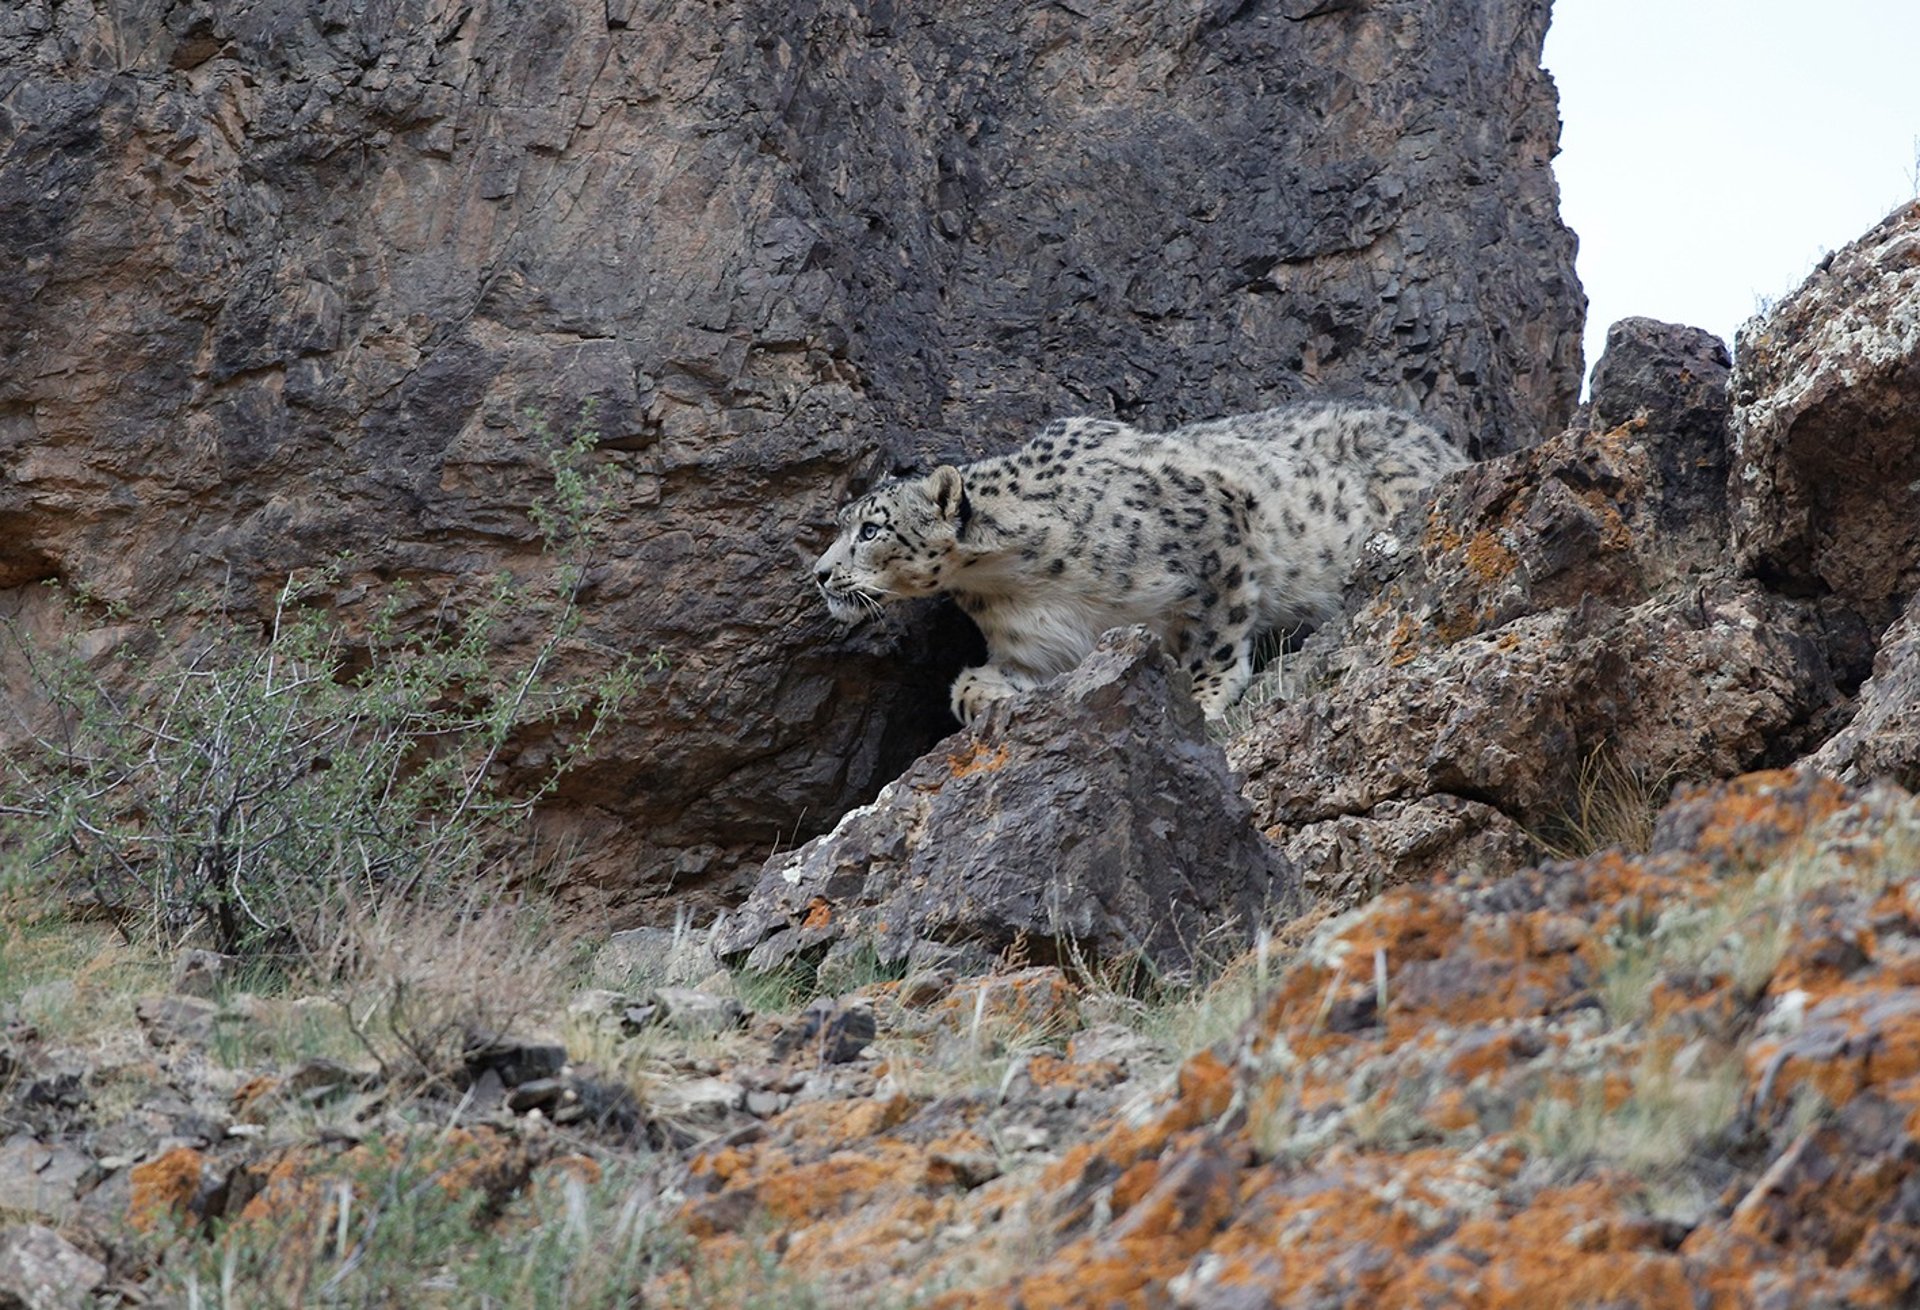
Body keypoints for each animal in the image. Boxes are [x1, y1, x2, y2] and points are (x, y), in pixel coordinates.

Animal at [813, 400, 1466, 723]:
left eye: (870, 529)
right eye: (842, 525)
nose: (819, 574)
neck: (1008, 580)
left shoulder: (1216, 525)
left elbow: (1216, 632)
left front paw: (1202, 697)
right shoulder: (1040, 645)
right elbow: (970, 685)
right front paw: (990, 697)